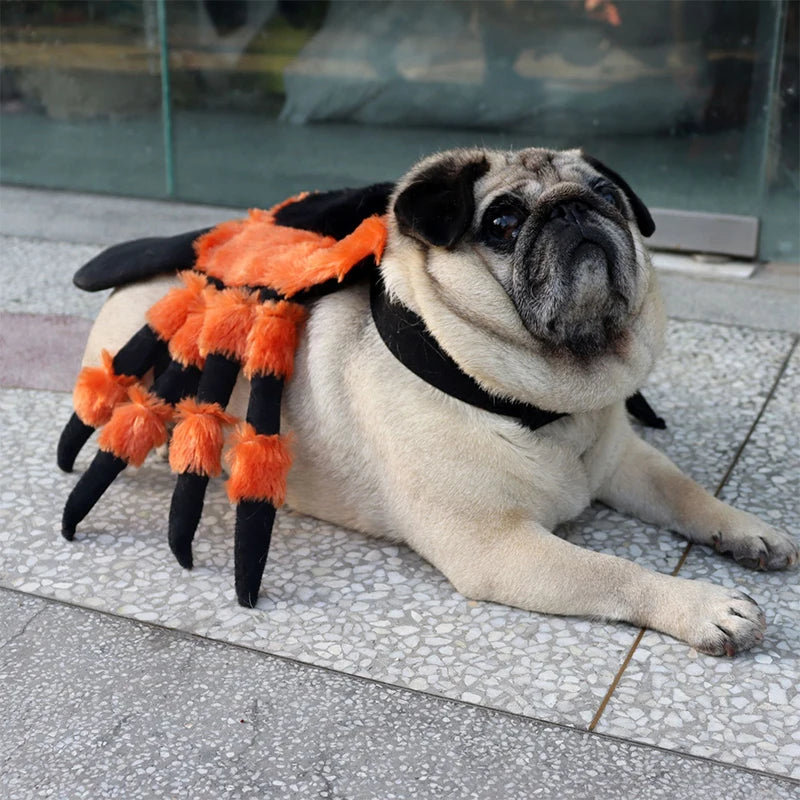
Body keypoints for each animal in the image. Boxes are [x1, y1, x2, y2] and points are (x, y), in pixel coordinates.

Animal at [79, 148, 792, 656]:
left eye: (606, 195)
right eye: (502, 222)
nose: (572, 209)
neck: (547, 404)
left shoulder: (624, 461)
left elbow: (687, 493)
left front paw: (746, 530)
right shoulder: (499, 548)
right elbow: (614, 572)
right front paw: (704, 606)